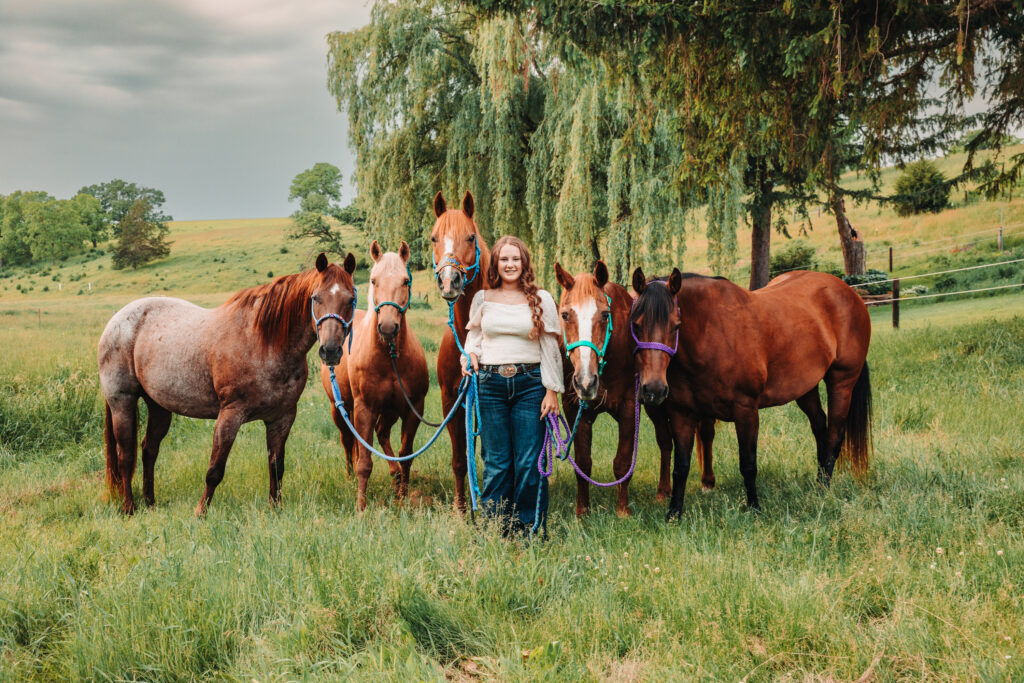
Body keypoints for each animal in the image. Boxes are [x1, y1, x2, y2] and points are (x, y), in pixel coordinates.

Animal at [96, 252, 358, 511]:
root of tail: (117, 320)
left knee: (149, 449)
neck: (264, 343)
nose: (330, 351)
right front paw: (201, 512)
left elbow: (276, 467)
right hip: (122, 403)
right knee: (125, 456)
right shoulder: (230, 415)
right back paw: (129, 508)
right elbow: (214, 470)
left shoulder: (281, 418)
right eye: (316, 298)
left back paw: (150, 503)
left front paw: (275, 508)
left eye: (351, 299)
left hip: (159, 407)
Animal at [321, 237, 430, 509]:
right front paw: (361, 508)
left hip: (389, 411)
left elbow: (406, 455)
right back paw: (350, 478)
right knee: (348, 442)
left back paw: (394, 476)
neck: (389, 358)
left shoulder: (413, 409)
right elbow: (364, 462)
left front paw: (403, 499)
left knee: (382, 434)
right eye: (373, 280)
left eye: (405, 280)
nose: (388, 327)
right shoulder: (364, 409)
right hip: (340, 410)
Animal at [557, 262, 716, 518]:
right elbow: (582, 463)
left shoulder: (629, 408)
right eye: (564, 315)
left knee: (705, 433)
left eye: (605, 314)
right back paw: (663, 491)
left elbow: (622, 462)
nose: (585, 381)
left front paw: (623, 512)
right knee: (665, 442)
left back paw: (707, 482)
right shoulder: (575, 410)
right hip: (656, 406)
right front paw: (582, 512)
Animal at [630, 266, 872, 518]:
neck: (712, 333)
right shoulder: (682, 414)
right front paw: (674, 513)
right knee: (820, 427)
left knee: (834, 434)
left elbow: (748, 464)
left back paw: (823, 488)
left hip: (841, 383)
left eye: (676, 325)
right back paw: (818, 481)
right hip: (806, 388)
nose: (653, 389)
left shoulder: (745, 410)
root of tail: (848, 291)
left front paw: (755, 509)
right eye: (635, 324)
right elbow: (681, 467)